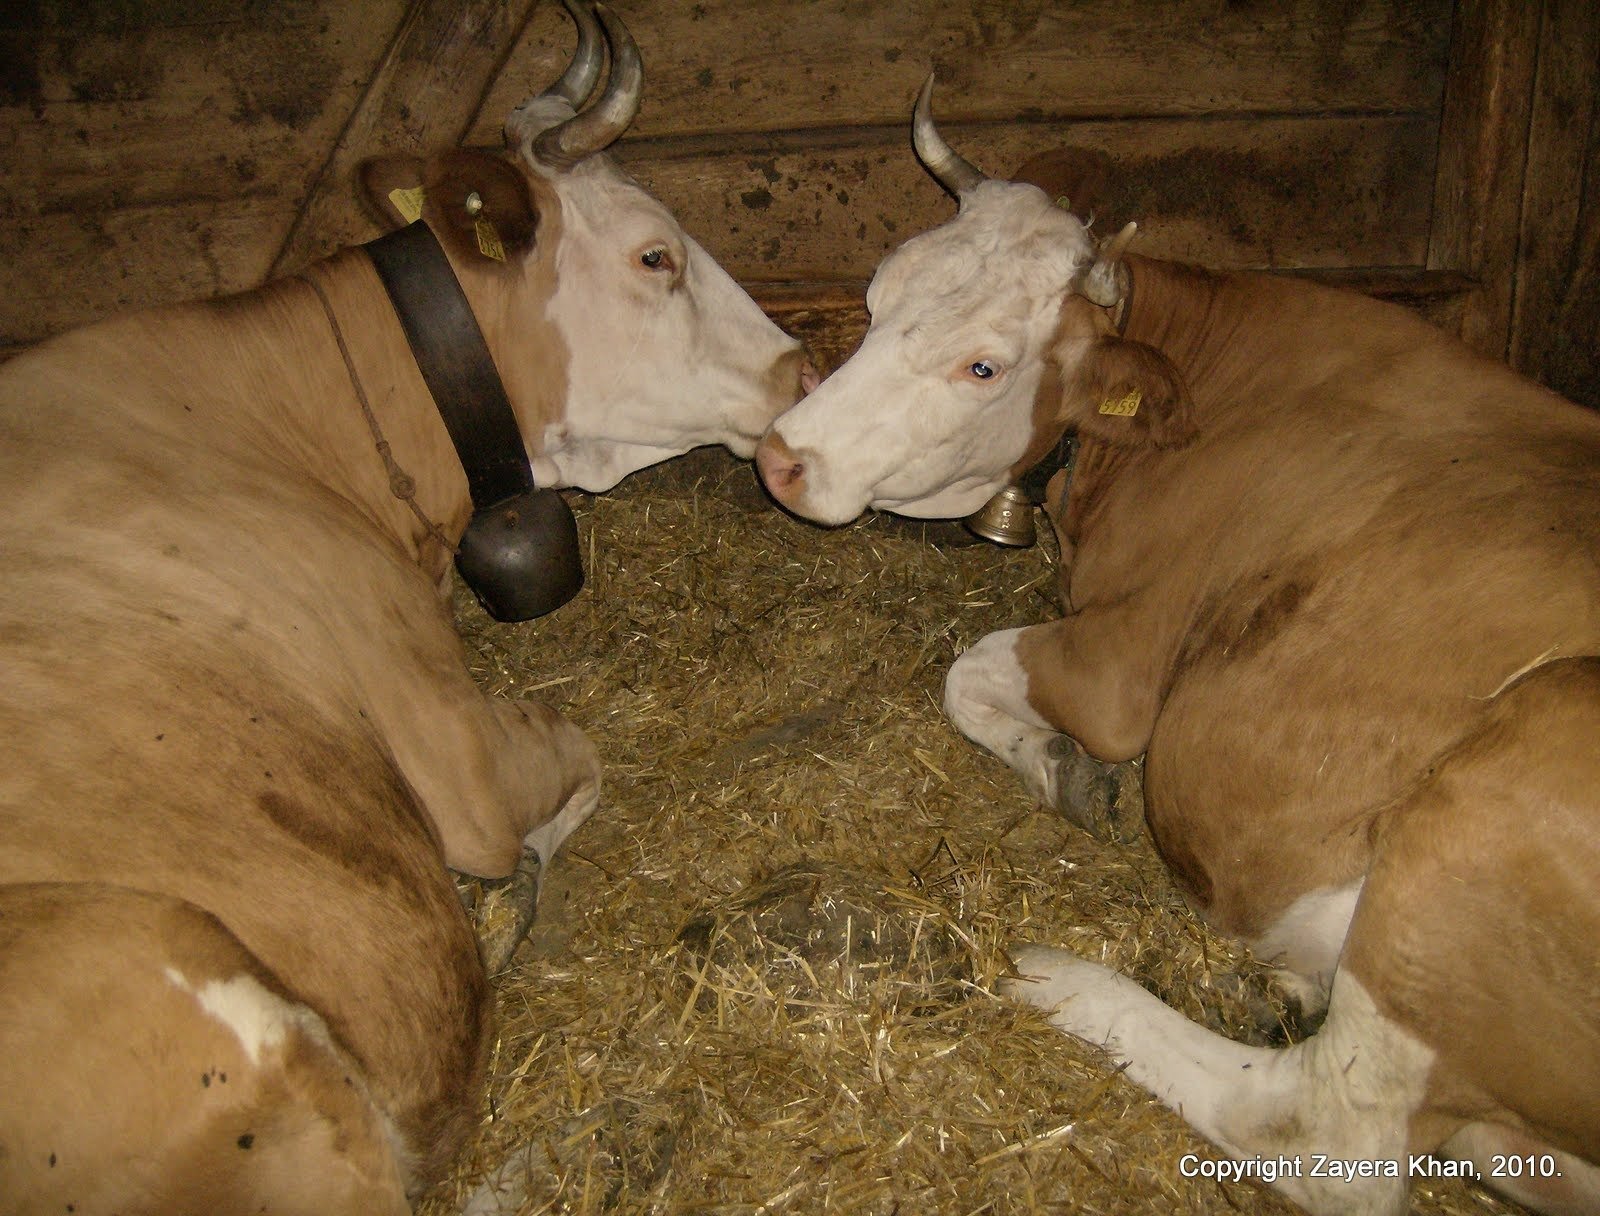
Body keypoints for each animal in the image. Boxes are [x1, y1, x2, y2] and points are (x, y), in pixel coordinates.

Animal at [755, 77, 1600, 1216]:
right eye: (880, 294)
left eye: (984, 364)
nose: (781, 457)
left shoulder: (1123, 666)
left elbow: (967, 670)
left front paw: (1065, 770)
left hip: (1497, 794)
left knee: (1322, 1133)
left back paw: (1062, 980)